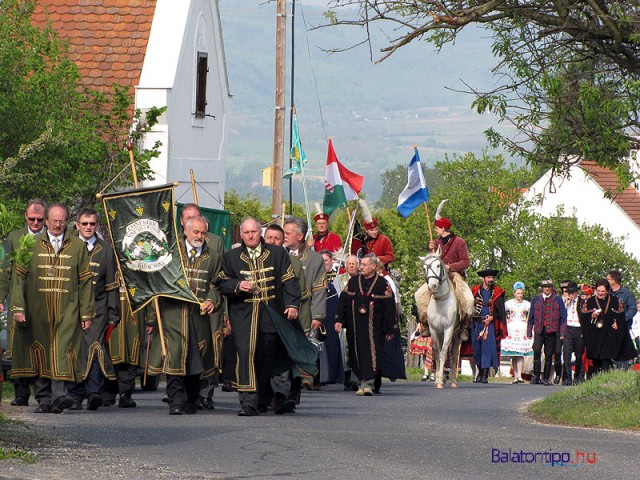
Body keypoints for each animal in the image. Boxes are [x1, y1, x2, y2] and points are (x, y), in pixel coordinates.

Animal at [418, 249, 462, 388]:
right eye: (424, 267)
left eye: (438, 265)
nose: (432, 286)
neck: (440, 302)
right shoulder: (434, 330)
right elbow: (437, 354)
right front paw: (438, 379)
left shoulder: (448, 329)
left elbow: (443, 354)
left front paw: (439, 381)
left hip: (457, 335)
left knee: (454, 354)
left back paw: (452, 380)